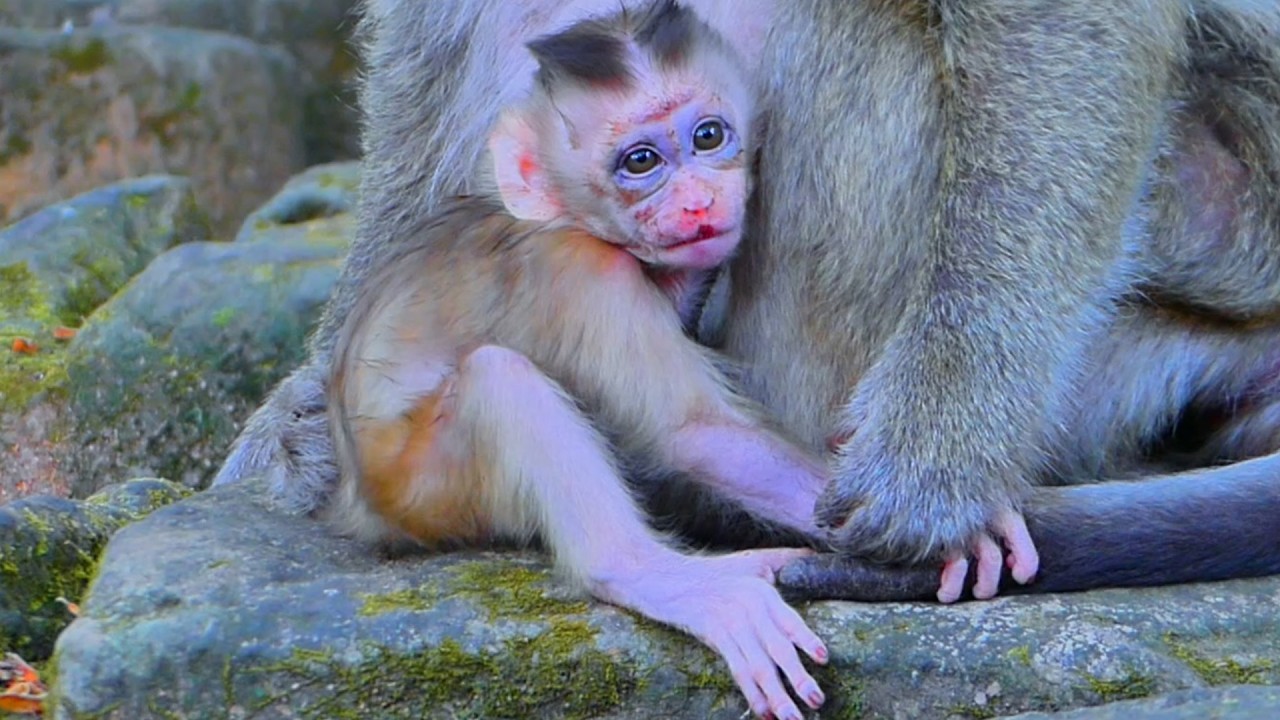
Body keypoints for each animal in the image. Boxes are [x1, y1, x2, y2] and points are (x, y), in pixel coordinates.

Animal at [326, 6, 832, 717]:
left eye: (708, 136)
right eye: (641, 161)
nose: (698, 203)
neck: (570, 220)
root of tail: (358, 504)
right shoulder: (584, 276)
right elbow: (695, 434)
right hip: (424, 490)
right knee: (501, 381)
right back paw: (660, 577)